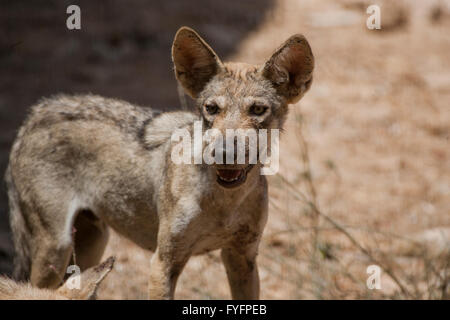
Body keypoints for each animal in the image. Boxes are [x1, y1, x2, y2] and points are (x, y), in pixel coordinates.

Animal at [5, 26, 312, 298]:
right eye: (211, 109)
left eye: (258, 110)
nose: (223, 152)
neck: (225, 203)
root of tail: (38, 111)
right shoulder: (163, 262)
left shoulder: (242, 258)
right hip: (56, 248)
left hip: (91, 246)